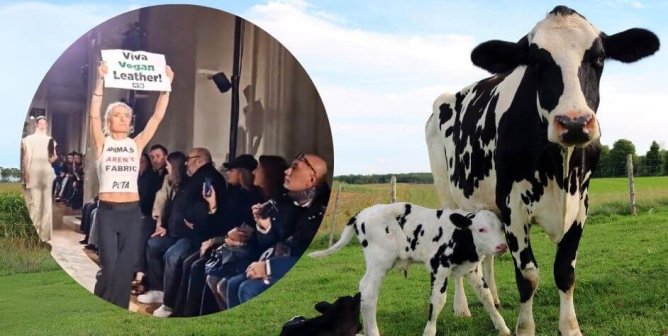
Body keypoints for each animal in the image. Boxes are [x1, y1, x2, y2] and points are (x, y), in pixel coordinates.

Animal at [310, 202, 508, 336]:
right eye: (481, 229)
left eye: (501, 227)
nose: (502, 246)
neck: (461, 236)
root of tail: (362, 214)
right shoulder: (438, 268)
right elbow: (437, 301)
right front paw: (429, 332)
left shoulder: (472, 269)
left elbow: (487, 296)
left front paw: (502, 327)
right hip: (379, 262)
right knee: (369, 293)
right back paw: (373, 331)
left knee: (363, 289)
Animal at [426, 5, 660, 336]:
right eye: (536, 61)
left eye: (599, 57)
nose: (574, 122)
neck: (558, 167)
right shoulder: (513, 208)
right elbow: (528, 276)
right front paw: (525, 327)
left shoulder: (581, 204)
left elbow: (565, 271)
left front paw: (570, 327)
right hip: (449, 195)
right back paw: (462, 308)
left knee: (487, 257)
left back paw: (494, 298)